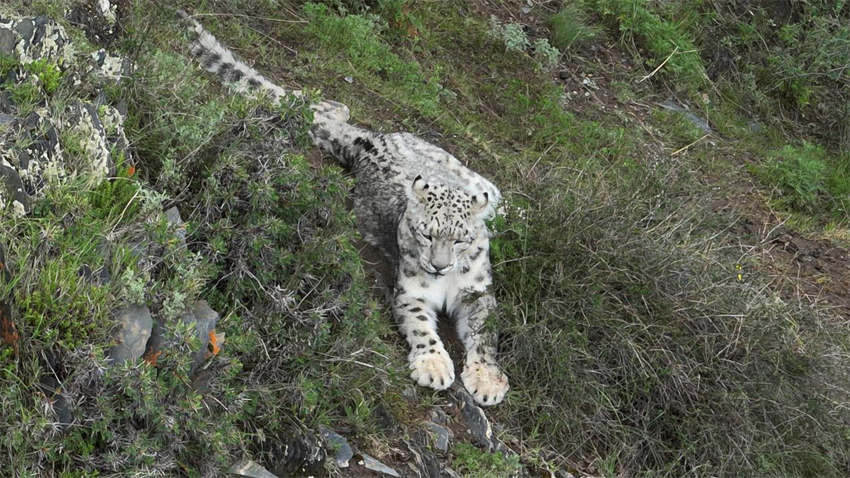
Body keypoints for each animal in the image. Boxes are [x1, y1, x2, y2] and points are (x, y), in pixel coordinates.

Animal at [179, 10, 509, 405]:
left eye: (459, 239)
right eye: (426, 234)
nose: (439, 266)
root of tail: (371, 141)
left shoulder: (478, 293)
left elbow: (486, 336)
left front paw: (487, 380)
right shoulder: (411, 290)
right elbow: (420, 325)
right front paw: (433, 366)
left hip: (464, 170)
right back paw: (306, 99)